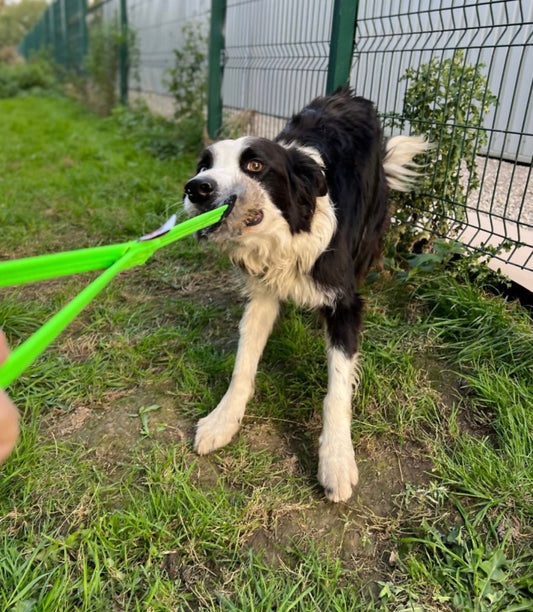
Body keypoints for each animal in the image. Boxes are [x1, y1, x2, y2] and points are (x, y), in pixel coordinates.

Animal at [183, 87, 428, 502]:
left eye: (255, 166)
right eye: (204, 165)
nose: (196, 188)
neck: (287, 238)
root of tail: (351, 95)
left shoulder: (344, 301)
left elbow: (337, 389)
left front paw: (336, 460)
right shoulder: (263, 295)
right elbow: (242, 366)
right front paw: (223, 420)